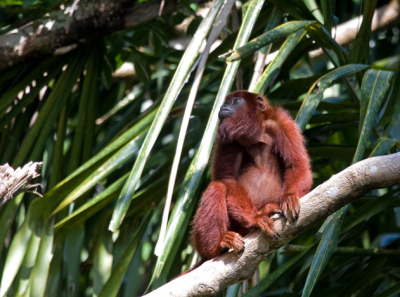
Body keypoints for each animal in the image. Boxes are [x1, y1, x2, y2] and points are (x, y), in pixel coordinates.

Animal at [191, 90, 312, 260]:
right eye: (226, 102)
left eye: (235, 101)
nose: (222, 106)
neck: (255, 135)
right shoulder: (227, 139)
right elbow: (228, 179)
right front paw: (256, 219)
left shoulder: (282, 123)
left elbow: (297, 164)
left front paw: (289, 197)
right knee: (218, 186)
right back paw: (217, 246)